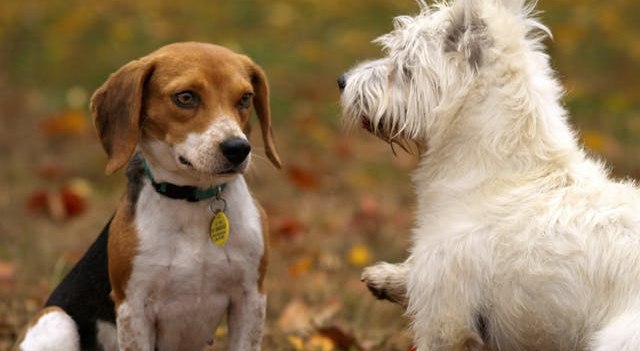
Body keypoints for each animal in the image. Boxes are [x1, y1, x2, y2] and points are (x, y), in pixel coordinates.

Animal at [14, 42, 280, 351]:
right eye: (185, 97)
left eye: (245, 98)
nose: (238, 148)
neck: (192, 201)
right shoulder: (133, 309)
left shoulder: (251, 299)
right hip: (56, 320)